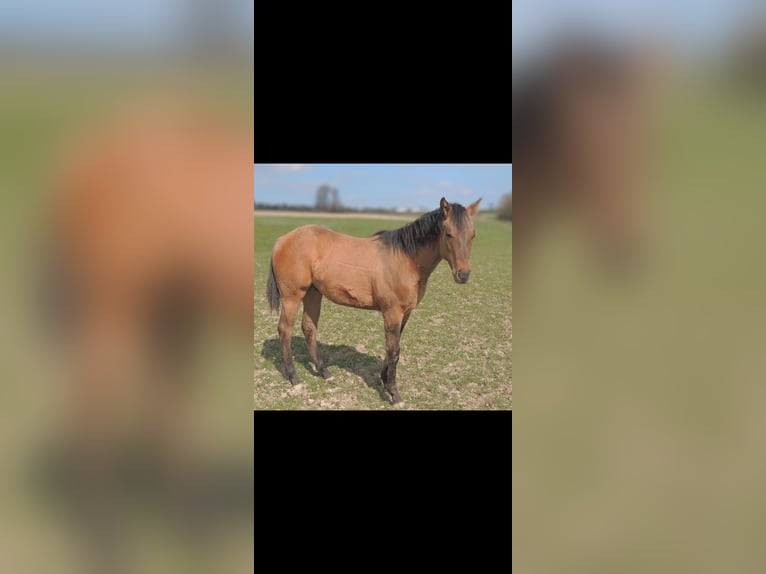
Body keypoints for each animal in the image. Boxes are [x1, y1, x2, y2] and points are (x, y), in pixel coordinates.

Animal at [267, 197, 481, 408]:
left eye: (472, 235)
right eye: (449, 234)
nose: (463, 275)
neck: (406, 258)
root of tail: (282, 240)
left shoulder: (405, 313)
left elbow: (392, 347)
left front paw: (385, 381)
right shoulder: (392, 312)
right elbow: (393, 351)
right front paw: (394, 394)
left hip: (313, 293)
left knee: (309, 328)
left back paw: (324, 372)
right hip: (292, 297)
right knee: (285, 330)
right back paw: (294, 378)